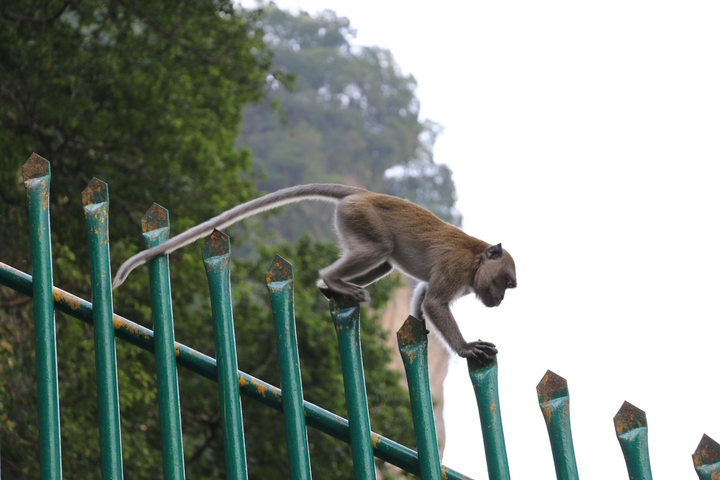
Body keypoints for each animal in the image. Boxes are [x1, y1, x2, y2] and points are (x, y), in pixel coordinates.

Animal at [113, 184, 517, 361]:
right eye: (504, 283)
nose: (498, 301)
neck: (476, 260)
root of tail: (361, 193)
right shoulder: (456, 267)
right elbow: (434, 301)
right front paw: (466, 348)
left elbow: (422, 296)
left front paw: (419, 326)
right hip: (361, 217)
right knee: (380, 250)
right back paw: (334, 281)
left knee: (384, 259)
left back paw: (332, 287)